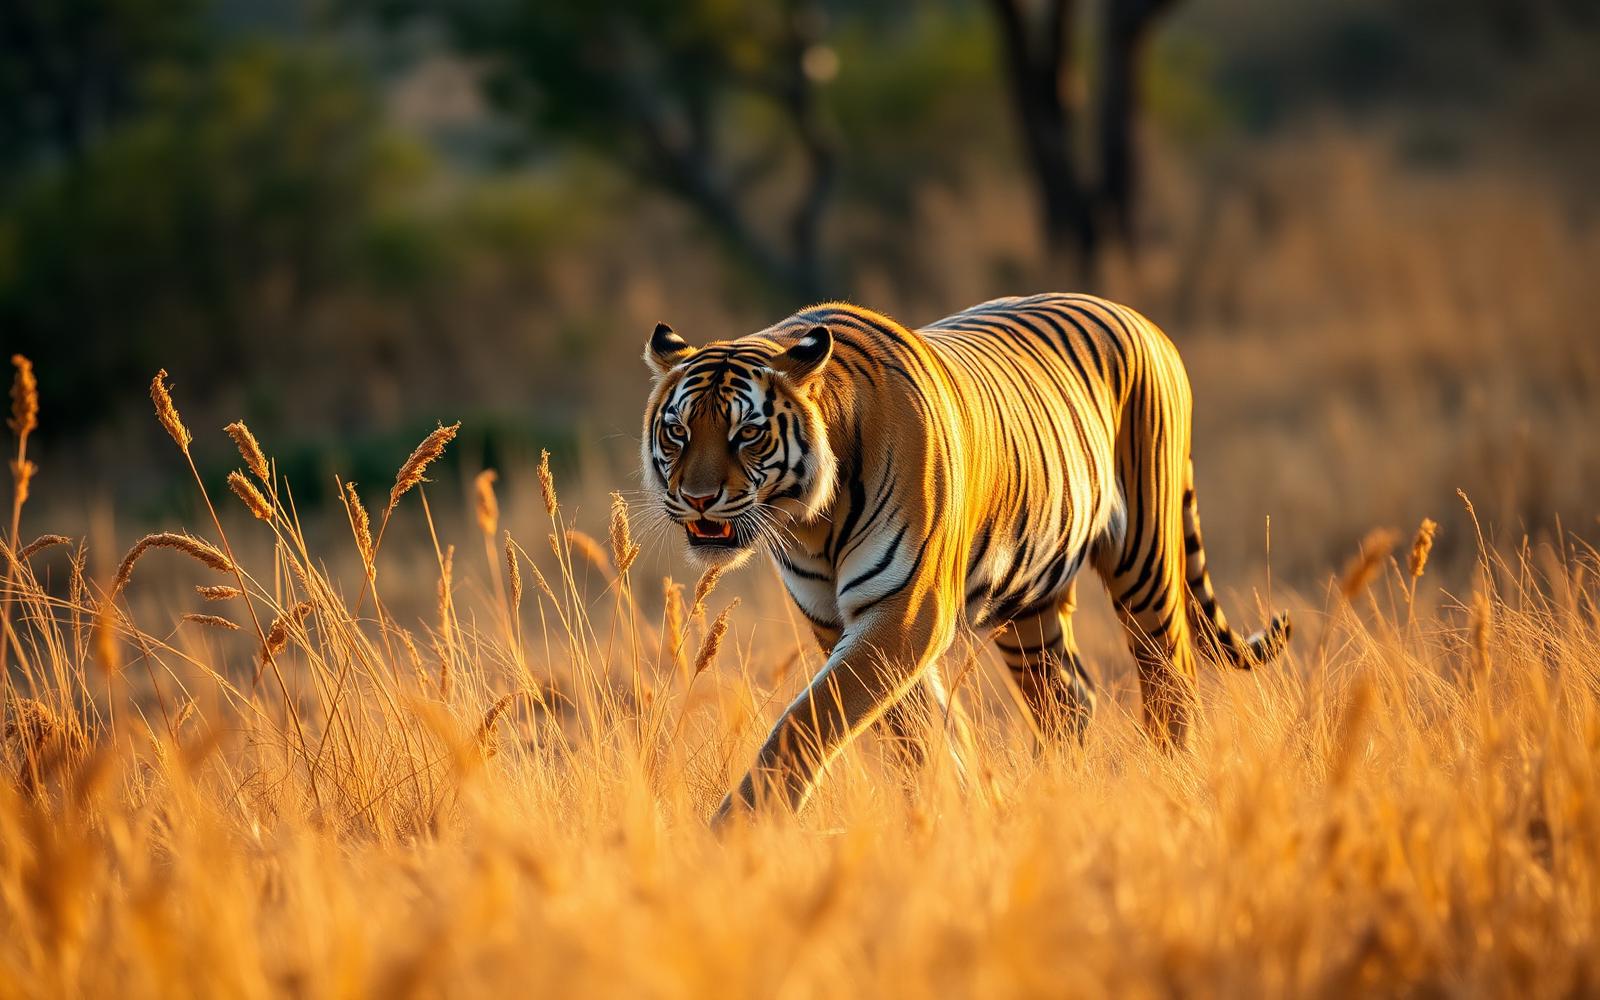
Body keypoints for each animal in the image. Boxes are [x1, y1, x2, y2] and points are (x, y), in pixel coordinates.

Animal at [640, 293, 1291, 823]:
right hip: (1030, 602)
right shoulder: (834, 620)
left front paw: (740, 825)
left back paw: (1170, 784)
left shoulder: (905, 612)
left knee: (1169, 678)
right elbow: (917, 729)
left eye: (746, 434)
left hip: (1145, 562)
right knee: (1069, 701)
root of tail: (1144, 321)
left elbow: (813, 717)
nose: (697, 498)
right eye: (678, 431)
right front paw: (959, 807)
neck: (809, 522)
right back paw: (1053, 800)